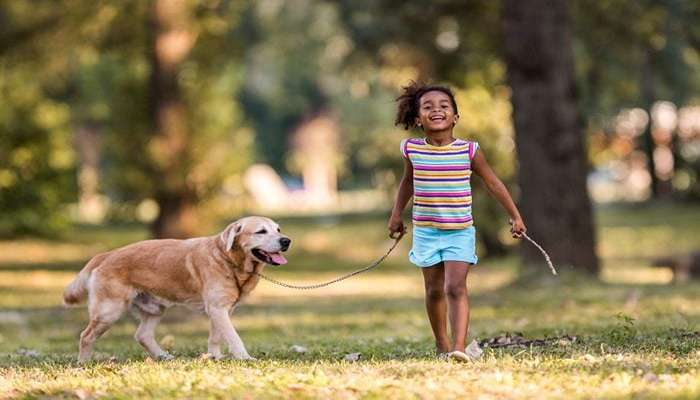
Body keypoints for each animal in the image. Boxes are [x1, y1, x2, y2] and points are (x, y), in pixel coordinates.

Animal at [61, 217, 288, 360]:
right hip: (108, 312)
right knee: (86, 336)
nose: (286, 240)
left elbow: (216, 336)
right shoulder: (217, 309)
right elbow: (233, 337)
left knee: (142, 335)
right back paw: (83, 364)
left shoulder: (221, 310)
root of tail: (105, 254)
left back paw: (164, 356)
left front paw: (215, 357)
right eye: (261, 231)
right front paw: (244, 358)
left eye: (278, 229)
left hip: (154, 308)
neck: (228, 259)